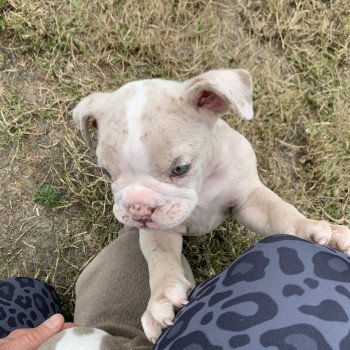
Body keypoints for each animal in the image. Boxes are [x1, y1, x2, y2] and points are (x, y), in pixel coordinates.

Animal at [72, 69, 350, 344]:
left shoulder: (248, 201)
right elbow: (160, 258)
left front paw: (318, 230)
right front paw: (162, 299)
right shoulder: (161, 229)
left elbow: (279, 212)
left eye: (180, 168)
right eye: (106, 172)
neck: (203, 183)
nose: (138, 208)